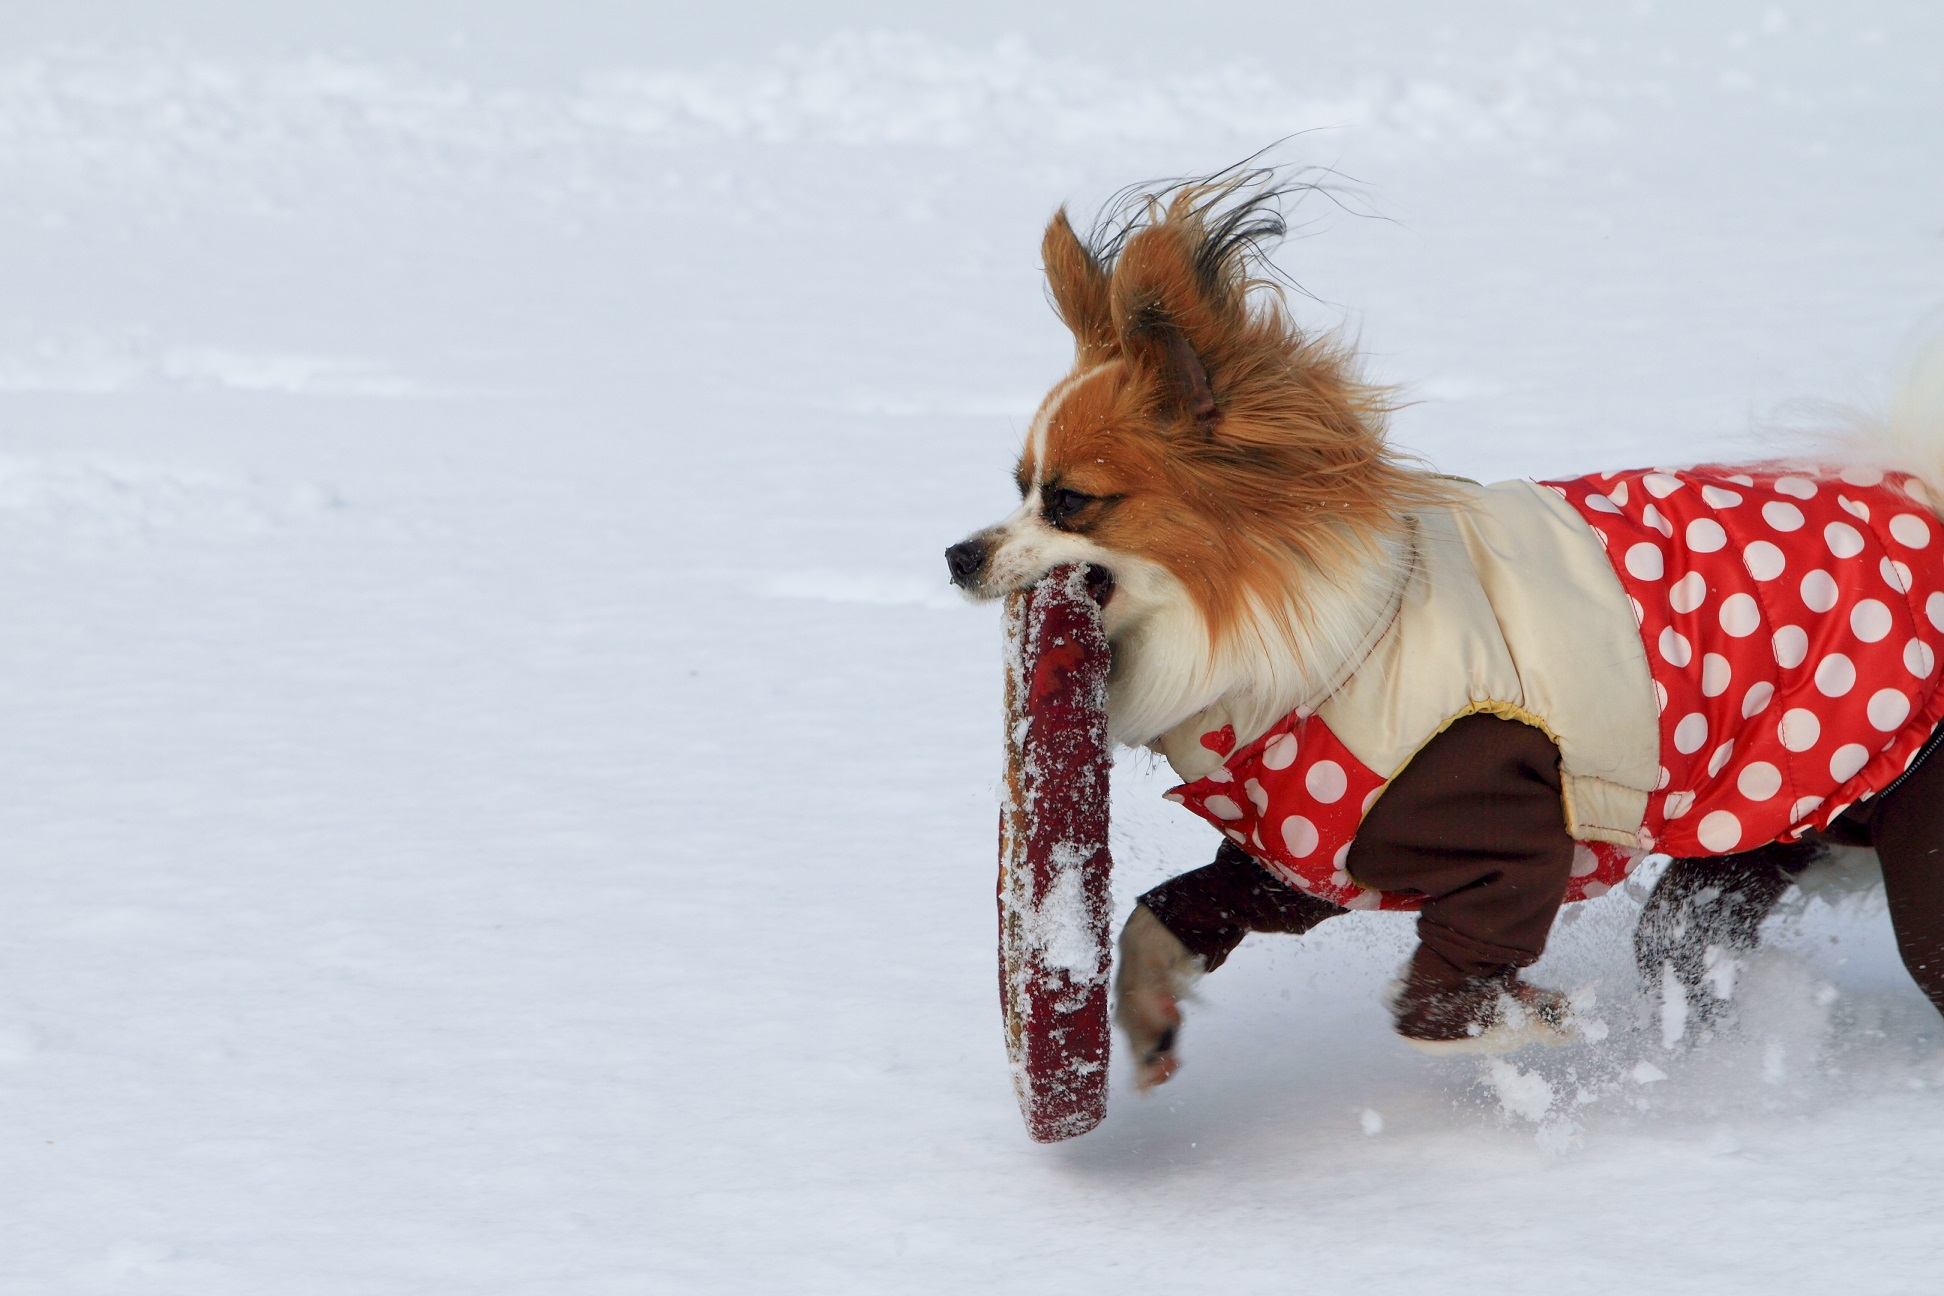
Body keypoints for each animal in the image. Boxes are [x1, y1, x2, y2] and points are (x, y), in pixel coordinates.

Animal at [940, 167, 1944, 1088]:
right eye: (1017, 485)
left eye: (1070, 502)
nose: (956, 554)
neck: (1344, 639)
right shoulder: (1309, 852)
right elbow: (1167, 913)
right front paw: (1146, 1015)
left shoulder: (1506, 830)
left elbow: (1432, 1002)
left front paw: (1535, 1026)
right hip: (1751, 848)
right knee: (1681, 951)